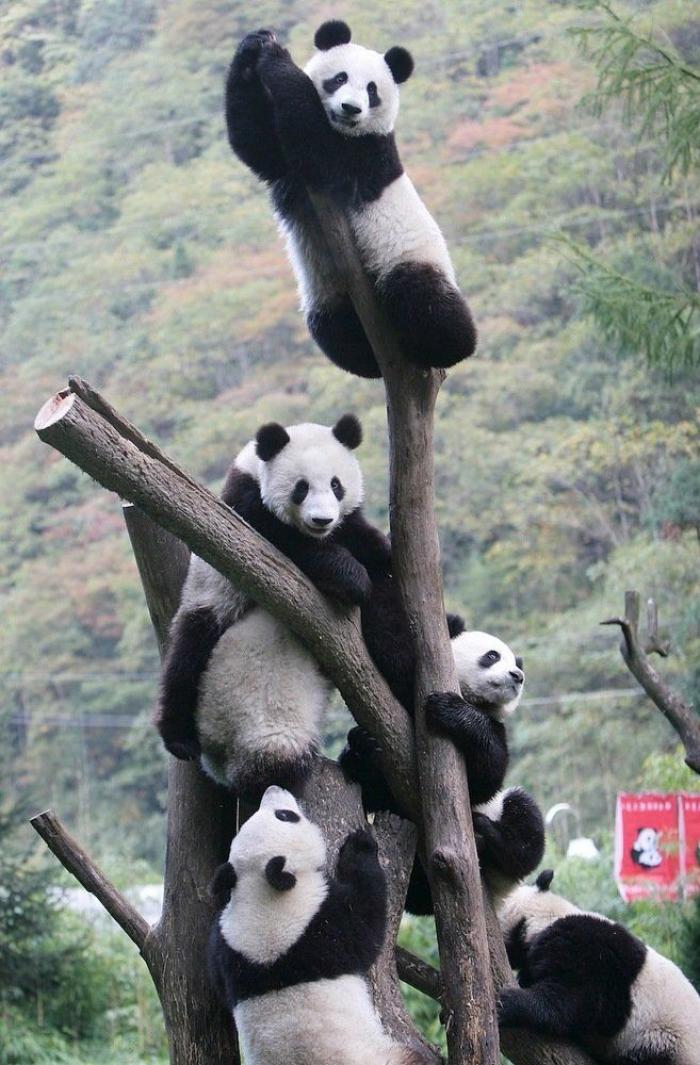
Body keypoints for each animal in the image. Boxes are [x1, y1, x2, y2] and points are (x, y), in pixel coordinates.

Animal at [156, 413, 391, 799]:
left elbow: (369, 545)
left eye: (336, 485)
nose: (322, 520)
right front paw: (351, 577)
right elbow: (288, 545)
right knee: (187, 661)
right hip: (248, 698)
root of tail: (220, 763)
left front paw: (378, 556)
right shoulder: (242, 515)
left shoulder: (347, 523)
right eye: (301, 488)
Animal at [208, 786, 426, 1065]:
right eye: (286, 816)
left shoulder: (229, 951)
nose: (273, 788)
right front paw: (360, 846)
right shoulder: (321, 925)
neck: (260, 895)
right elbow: (367, 922)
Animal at [225, 20, 477, 379]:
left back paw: (446, 346)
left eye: (372, 91)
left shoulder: (366, 155)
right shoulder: (285, 167)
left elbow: (318, 155)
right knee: (335, 330)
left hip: (407, 257)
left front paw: (278, 58)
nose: (351, 108)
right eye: (340, 78)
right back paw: (367, 359)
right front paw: (254, 45)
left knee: (425, 301)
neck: (343, 129)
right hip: (330, 294)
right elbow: (256, 145)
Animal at [340, 627, 545, 913]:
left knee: (524, 825)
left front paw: (450, 710)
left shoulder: (496, 729)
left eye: (516, 663)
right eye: (492, 656)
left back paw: (489, 834)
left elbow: (486, 779)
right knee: (417, 894)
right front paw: (362, 747)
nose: (518, 676)